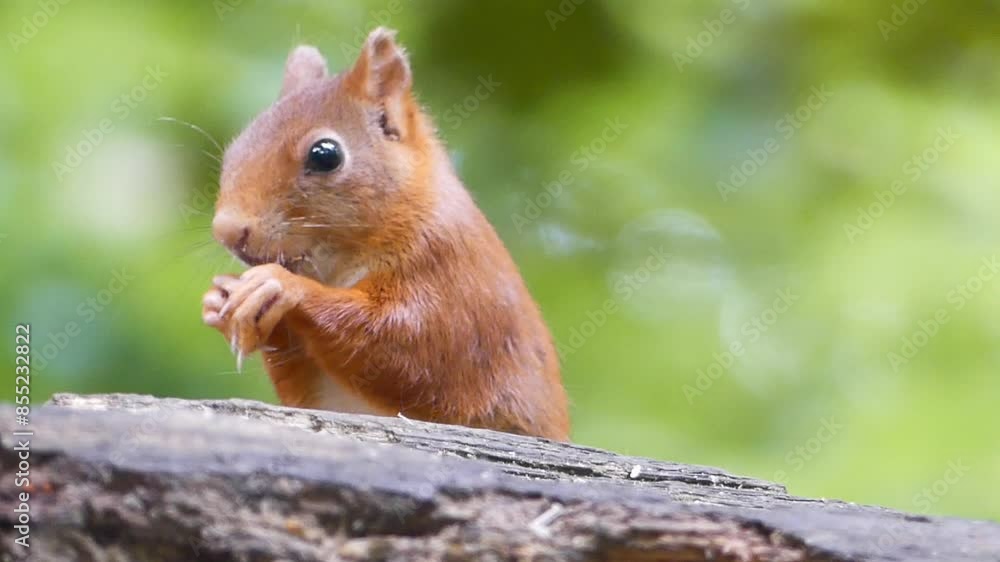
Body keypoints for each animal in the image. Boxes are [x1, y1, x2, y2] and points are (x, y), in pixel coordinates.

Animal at [201, 28, 569, 441]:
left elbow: (407, 350)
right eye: (235, 148)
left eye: (326, 154)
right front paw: (220, 299)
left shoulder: (452, 279)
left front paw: (281, 286)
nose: (228, 230)